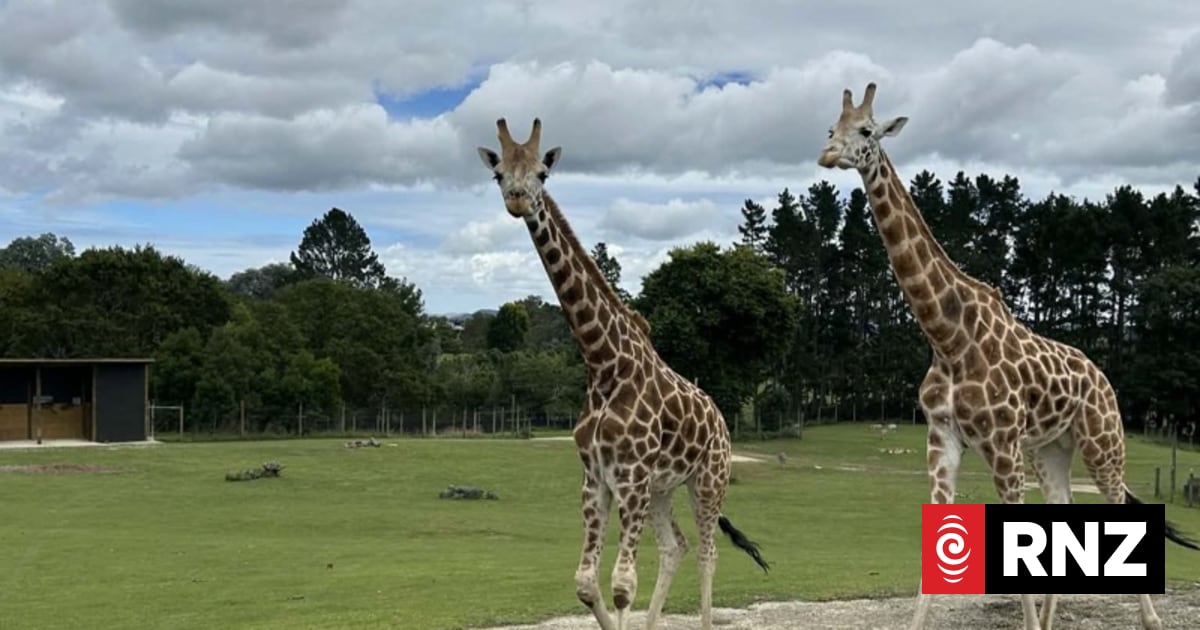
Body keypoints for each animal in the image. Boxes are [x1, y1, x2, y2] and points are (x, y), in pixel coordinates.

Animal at [477, 118, 769, 630]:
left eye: (542, 174)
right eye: (499, 174)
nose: (516, 199)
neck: (603, 363)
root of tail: (720, 418)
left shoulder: (630, 477)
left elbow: (620, 587)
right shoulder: (596, 479)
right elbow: (586, 583)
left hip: (708, 479)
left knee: (707, 552)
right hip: (662, 489)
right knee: (676, 546)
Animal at [816, 83, 1200, 630]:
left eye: (867, 131)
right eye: (832, 127)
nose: (828, 154)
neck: (946, 337)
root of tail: (1102, 377)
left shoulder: (1001, 445)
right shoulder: (942, 439)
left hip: (1104, 441)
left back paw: (1151, 621)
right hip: (1050, 448)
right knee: (1064, 509)